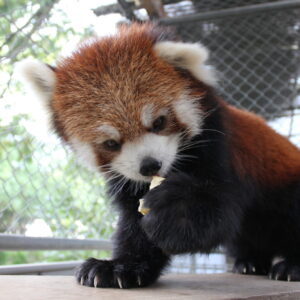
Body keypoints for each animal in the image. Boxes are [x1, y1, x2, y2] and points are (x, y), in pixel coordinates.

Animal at [18, 22, 300, 288]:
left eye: (159, 122)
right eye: (110, 143)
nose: (149, 165)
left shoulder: (218, 146)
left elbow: (219, 210)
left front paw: (177, 207)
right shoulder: (127, 179)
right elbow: (135, 224)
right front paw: (121, 266)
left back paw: (291, 266)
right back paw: (250, 262)